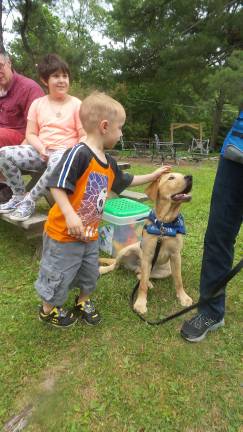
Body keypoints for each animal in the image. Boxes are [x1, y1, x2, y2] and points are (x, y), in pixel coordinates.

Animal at [99, 171, 193, 314]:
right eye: (171, 177)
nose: (190, 177)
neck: (164, 225)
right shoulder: (148, 255)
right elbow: (141, 285)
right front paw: (140, 303)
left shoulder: (176, 256)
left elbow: (178, 280)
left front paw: (183, 297)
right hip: (128, 251)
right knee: (117, 266)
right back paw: (104, 269)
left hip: (165, 270)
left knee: (140, 274)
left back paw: (148, 281)